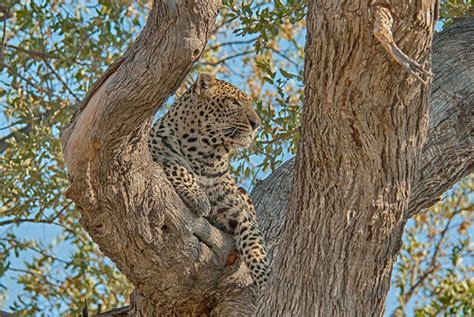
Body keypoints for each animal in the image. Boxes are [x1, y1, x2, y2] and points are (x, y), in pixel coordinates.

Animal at [150, 73, 270, 290]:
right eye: (233, 101)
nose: (256, 124)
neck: (205, 154)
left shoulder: (237, 210)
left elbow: (254, 240)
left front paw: (264, 279)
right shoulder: (153, 150)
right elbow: (176, 166)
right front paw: (199, 197)